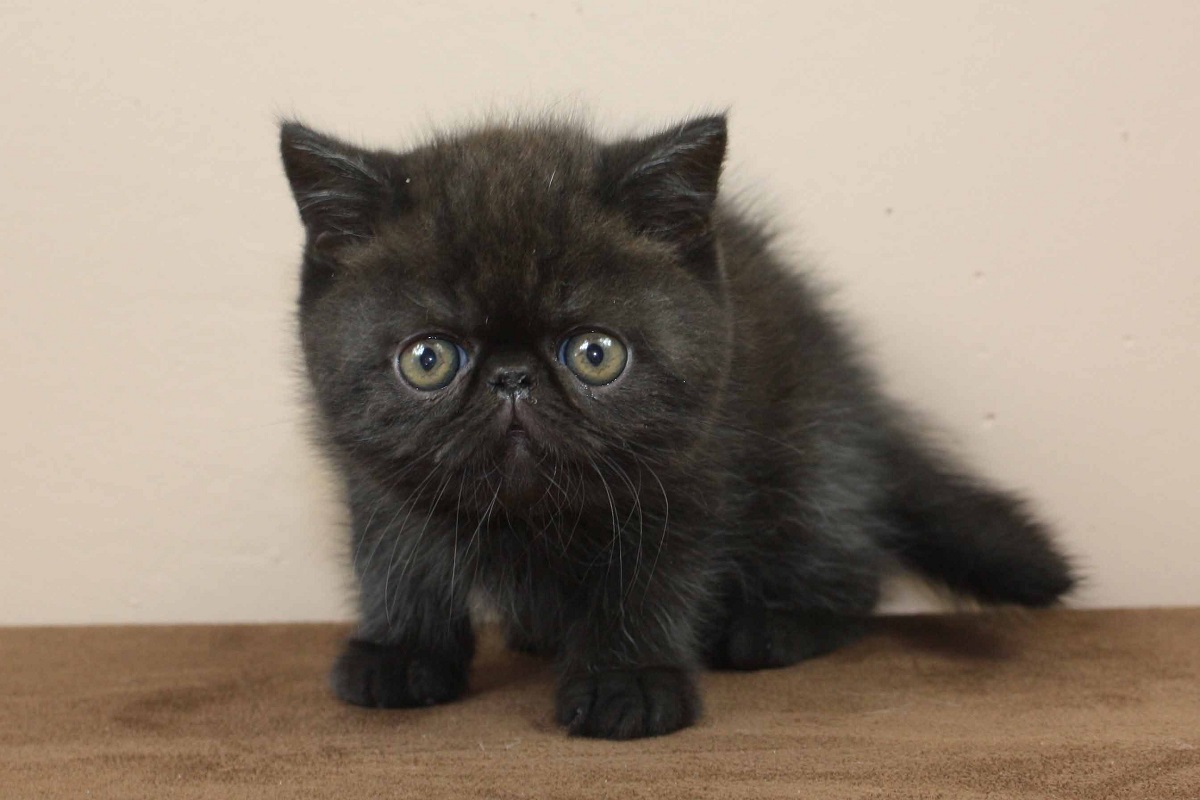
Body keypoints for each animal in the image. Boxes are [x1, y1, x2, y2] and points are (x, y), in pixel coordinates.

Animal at [280, 110, 1080, 738]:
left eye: (596, 354)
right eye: (427, 360)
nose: (511, 378)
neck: (533, 518)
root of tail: (862, 401)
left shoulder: (690, 469)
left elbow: (650, 580)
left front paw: (627, 682)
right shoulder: (376, 480)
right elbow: (397, 561)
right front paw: (399, 654)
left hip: (812, 449)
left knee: (850, 566)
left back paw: (773, 625)